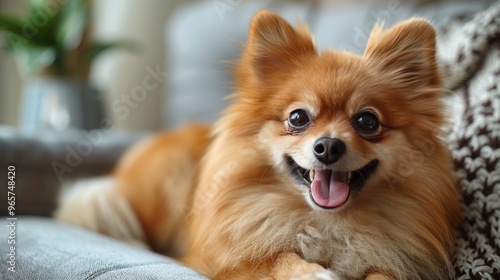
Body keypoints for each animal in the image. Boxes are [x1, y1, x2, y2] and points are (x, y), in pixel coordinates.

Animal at [54, 10, 460, 280]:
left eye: (367, 122)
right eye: (298, 118)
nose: (328, 146)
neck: (326, 224)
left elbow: (384, 273)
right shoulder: (223, 261)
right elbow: (274, 258)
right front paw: (314, 273)